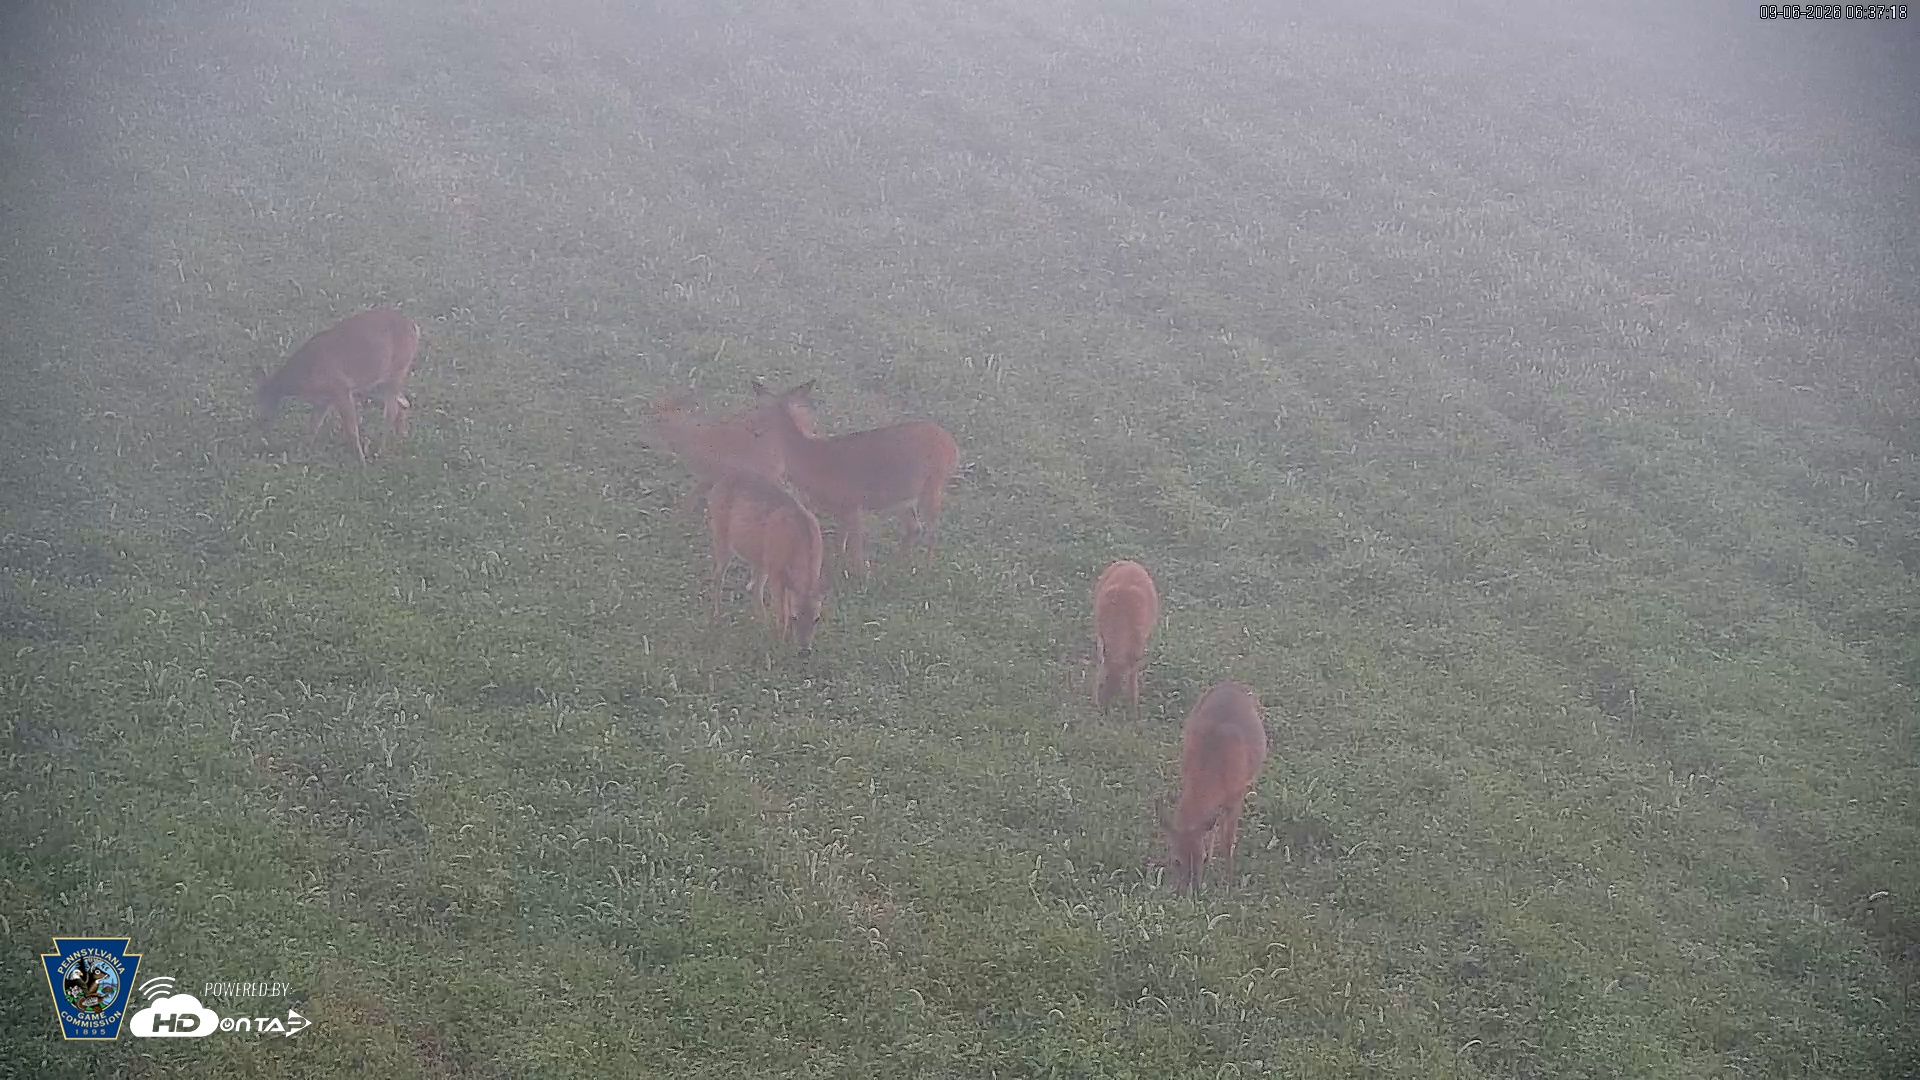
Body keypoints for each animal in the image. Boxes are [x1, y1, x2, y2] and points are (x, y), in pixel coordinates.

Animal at [254, 308, 419, 466]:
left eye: (261, 400)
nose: (260, 423)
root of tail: (412, 326)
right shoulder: (323, 400)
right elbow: (313, 427)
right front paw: (302, 452)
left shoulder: (340, 388)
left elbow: (351, 429)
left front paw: (361, 462)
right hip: (380, 380)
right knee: (404, 403)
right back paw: (400, 438)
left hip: (396, 372)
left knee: (392, 410)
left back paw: (381, 449)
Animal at [706, 468, 827, 652]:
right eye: (796, 617)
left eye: (817, 619)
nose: (804, 651)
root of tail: (720, 481)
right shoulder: (776, 572)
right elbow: (783, 613)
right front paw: (780, 642)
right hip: (721, 536)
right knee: (718, 576)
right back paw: (717, 615)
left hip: (761, 558)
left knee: (755, 588)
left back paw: (762, 621)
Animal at [747, 378, 959, 578]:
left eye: (761, 411)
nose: (754, 430)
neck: (811, 459)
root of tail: (952, 444)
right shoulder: (841, 509)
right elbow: (840, 545)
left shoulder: (853, 503)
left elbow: (856, 551)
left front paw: (861, 578)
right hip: (904, 497)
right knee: (915, 527)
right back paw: (898, 566)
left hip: (933, 486)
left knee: (931, 531)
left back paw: (926, 568)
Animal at [1092, 560, 1160, 720]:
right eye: (1102, 683)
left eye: (1119, 687)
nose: (1102, 709)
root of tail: (1129, 562)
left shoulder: (1137, 648)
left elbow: (1132, 681)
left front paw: (1134, 711)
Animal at [1159, 681, 1268, 894]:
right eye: (1176, 861)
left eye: (1201, 859)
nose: (1191, 891)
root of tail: (1232, 683)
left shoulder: (1236, 796)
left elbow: (1227, 840)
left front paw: (1229, 880)